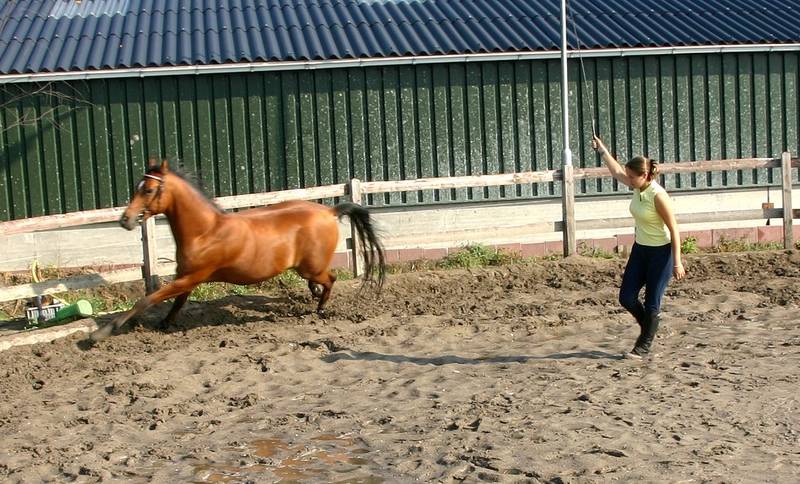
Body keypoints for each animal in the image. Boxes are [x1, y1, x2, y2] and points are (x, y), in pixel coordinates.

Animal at [90, 159, 385, 342]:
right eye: (137, 187)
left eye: (149, 189)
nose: (125, 220)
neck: (205, 232)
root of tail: (330, 211)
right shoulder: (186, 278)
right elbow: (177, 303)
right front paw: (165, 323)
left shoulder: (191, 277)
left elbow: (146, 299)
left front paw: (101, 333)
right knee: (321, 282)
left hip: (310, 268)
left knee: (330, 279)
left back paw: (320, 309)